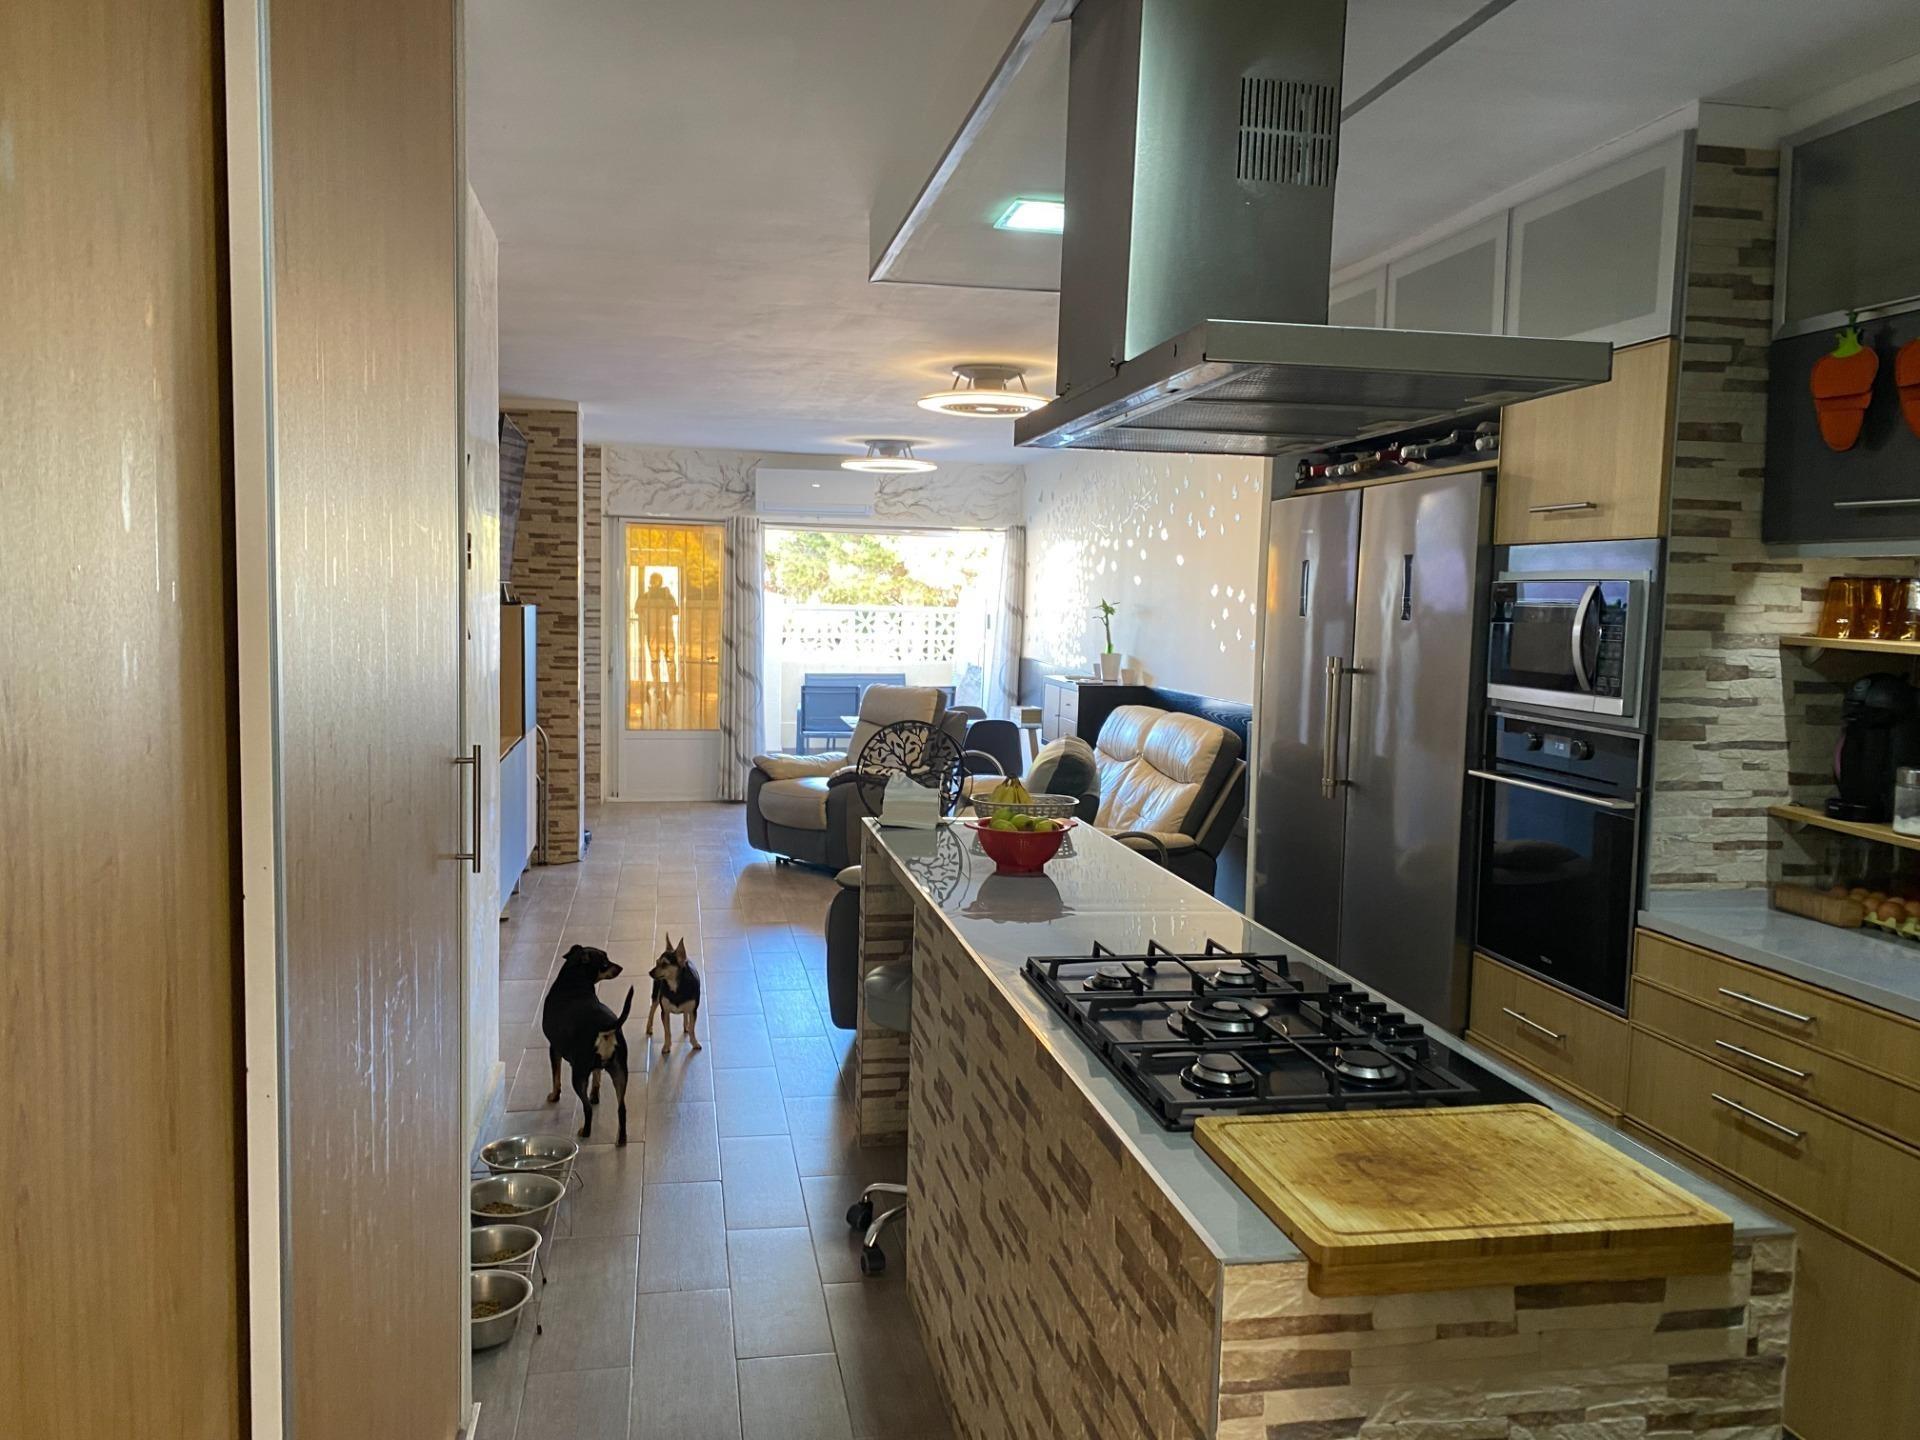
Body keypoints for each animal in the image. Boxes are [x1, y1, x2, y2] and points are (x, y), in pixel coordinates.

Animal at [539, 944, 634, 1145]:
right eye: (605, 963)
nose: (620, 967)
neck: (574, 982)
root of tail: (606, 1026)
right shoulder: (595, 1067)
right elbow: (597, 1078)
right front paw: (595, 1094)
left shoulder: (554, 1048)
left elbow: (556, 1077)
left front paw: (554, 1096)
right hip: (620, 1071)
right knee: (621, 1108)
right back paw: (621, 1139)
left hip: (578, 1074)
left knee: (588, 1108)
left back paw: (585, 1131)